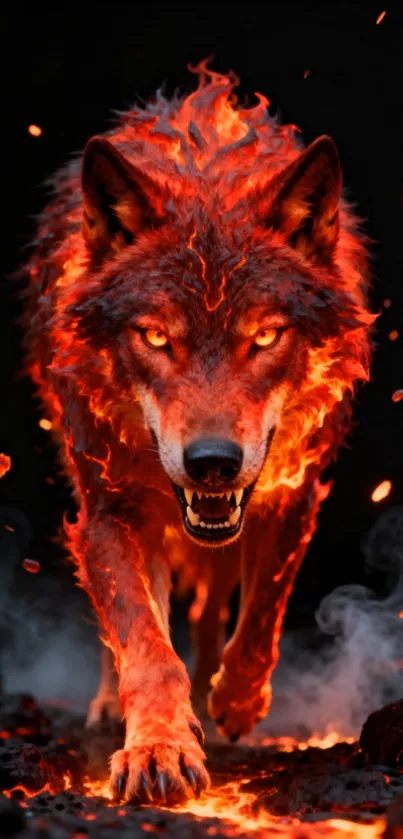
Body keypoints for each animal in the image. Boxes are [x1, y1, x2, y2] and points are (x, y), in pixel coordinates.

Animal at [24, 64, 372, 803]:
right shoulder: (109, 509)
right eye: (155, 337)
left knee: (213, 609)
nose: (212, 460)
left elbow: (264, 606)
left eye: (265, 336)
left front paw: (236, 700)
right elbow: (145, 643)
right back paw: (114, 708)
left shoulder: (294, 490)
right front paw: (156, 747)